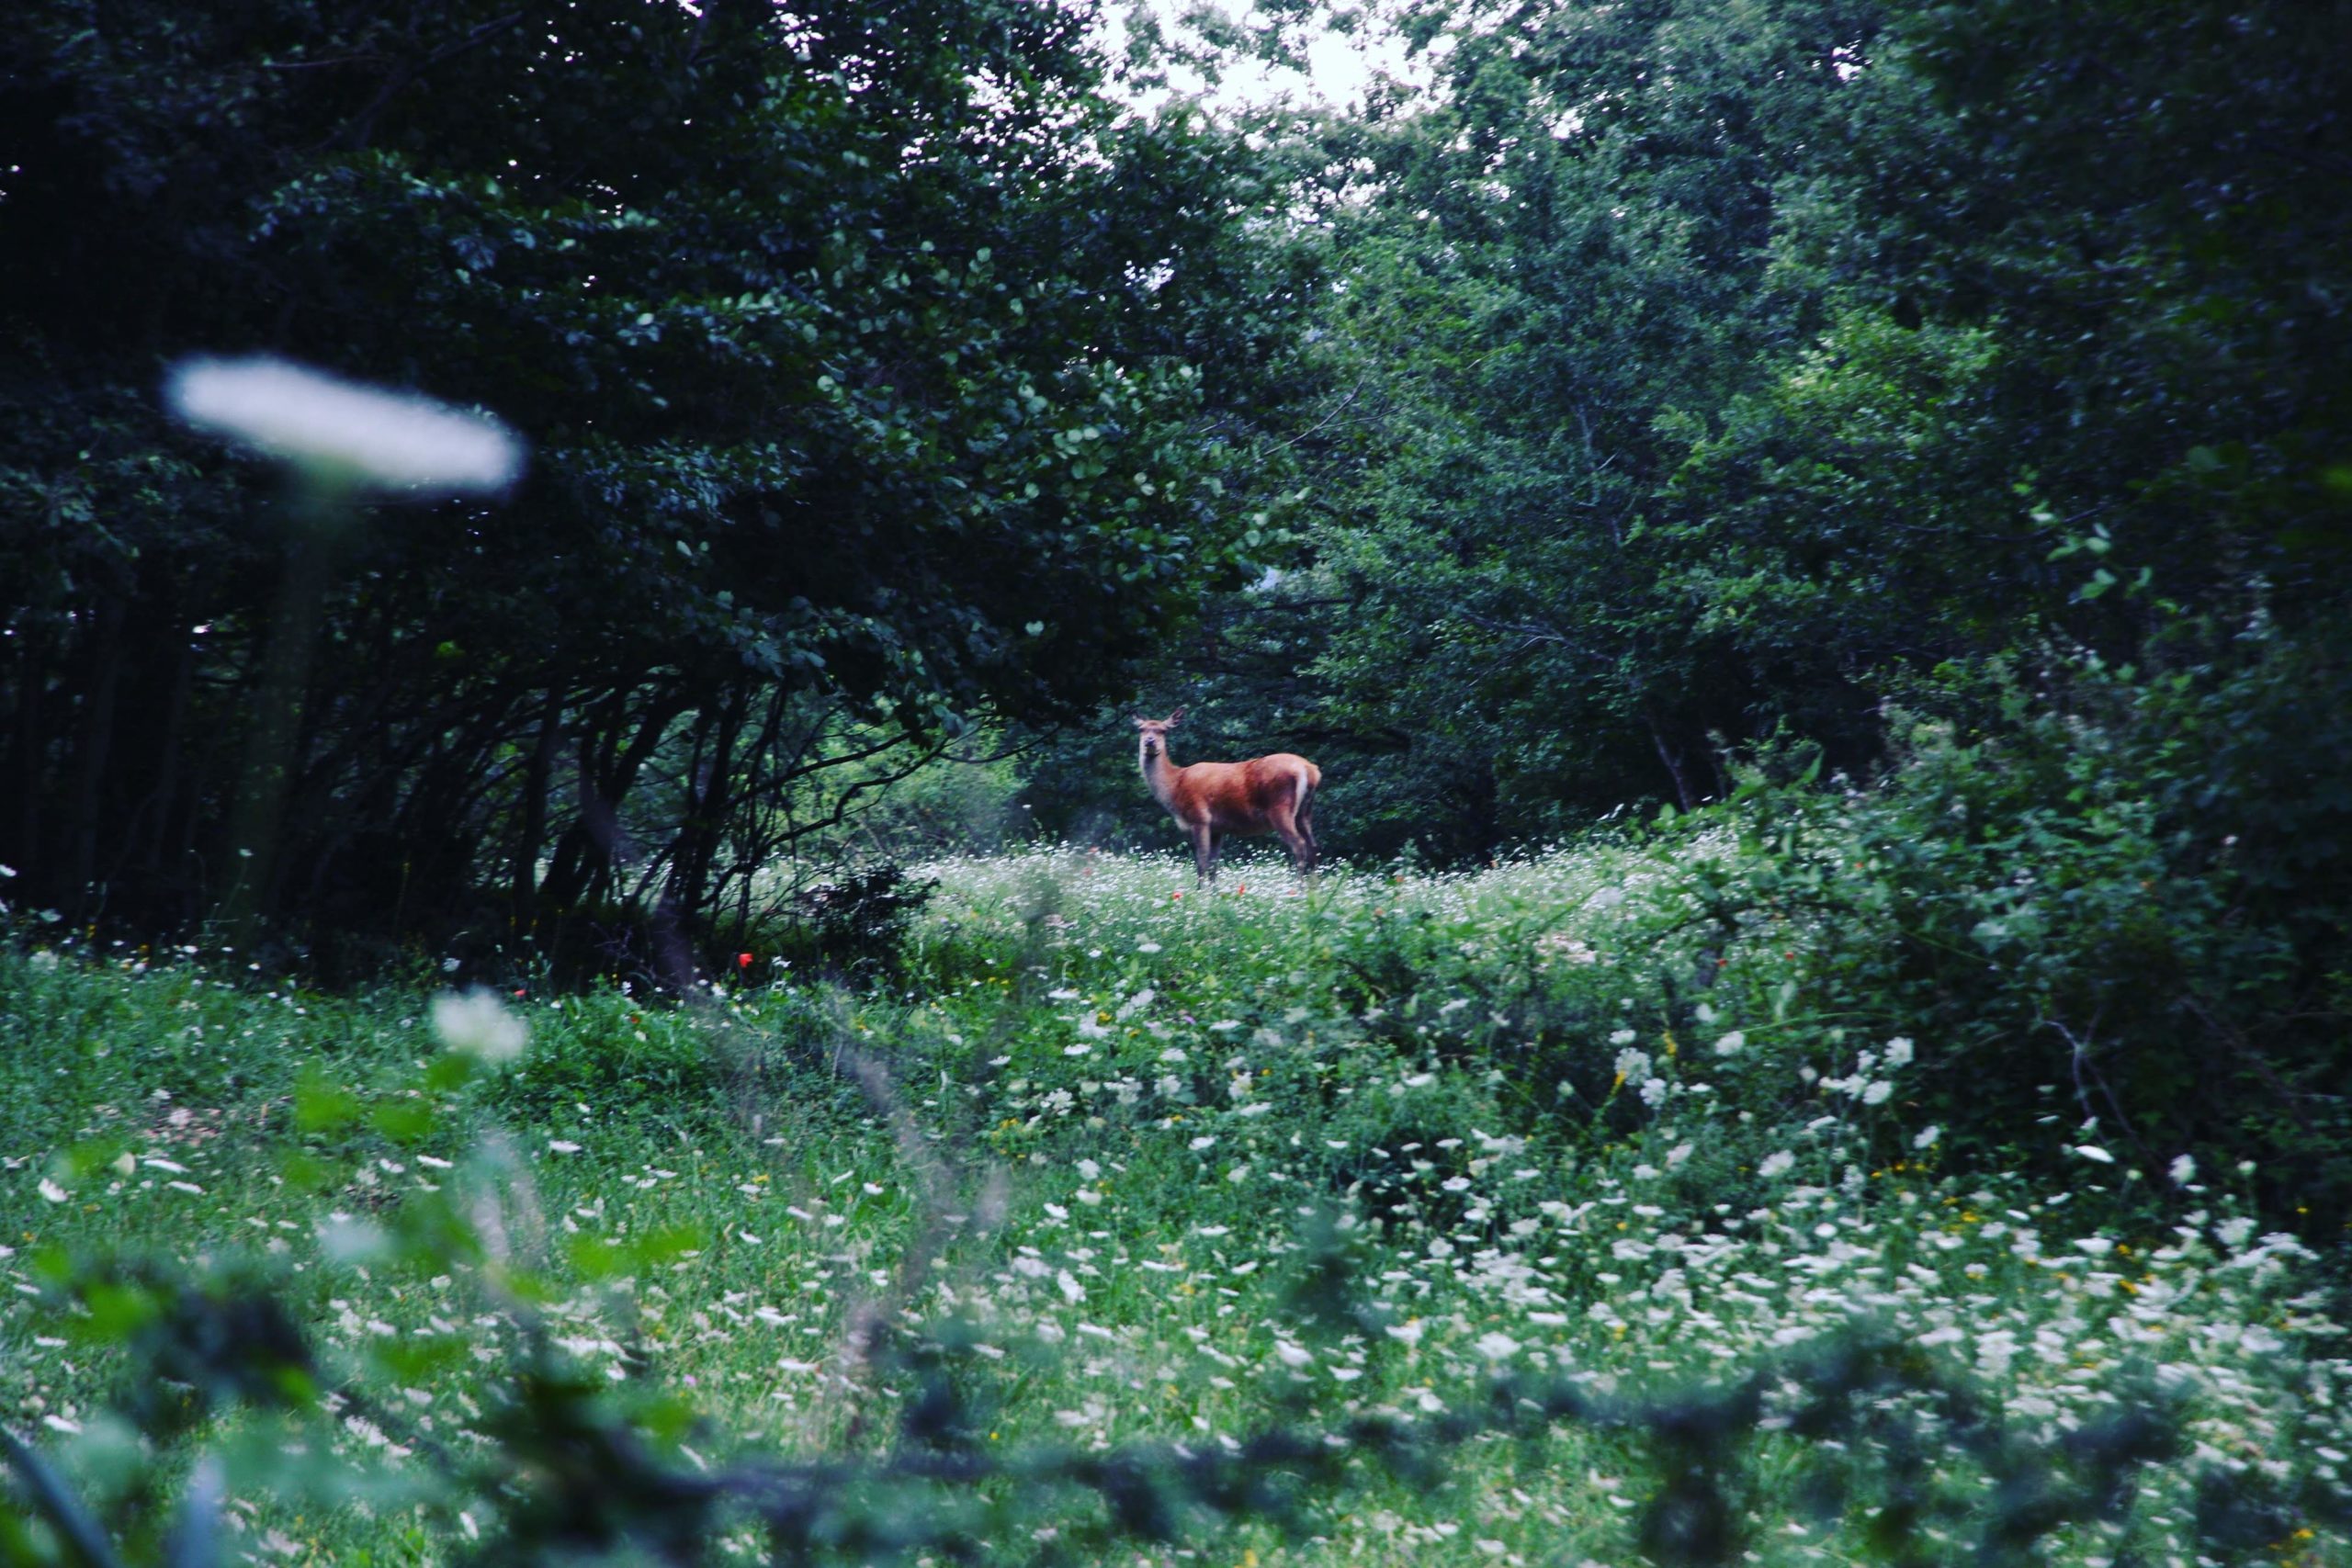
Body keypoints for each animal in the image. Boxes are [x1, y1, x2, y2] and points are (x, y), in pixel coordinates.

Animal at [1124, 709, 1317, 884]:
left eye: (1163, 730)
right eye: (1141, 729)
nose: (1149, 741)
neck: (1175, 785)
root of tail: (1309, 770)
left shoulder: (1200, 818)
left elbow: (1201, 861)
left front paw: (1200, 894)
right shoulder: (1218, 827)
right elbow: (1214, 864)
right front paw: (1214, 894)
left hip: (1280, 808)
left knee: (1299, 845)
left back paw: (1298, 889)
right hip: (1304, 813)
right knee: (1313, 845)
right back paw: (1313, 889)